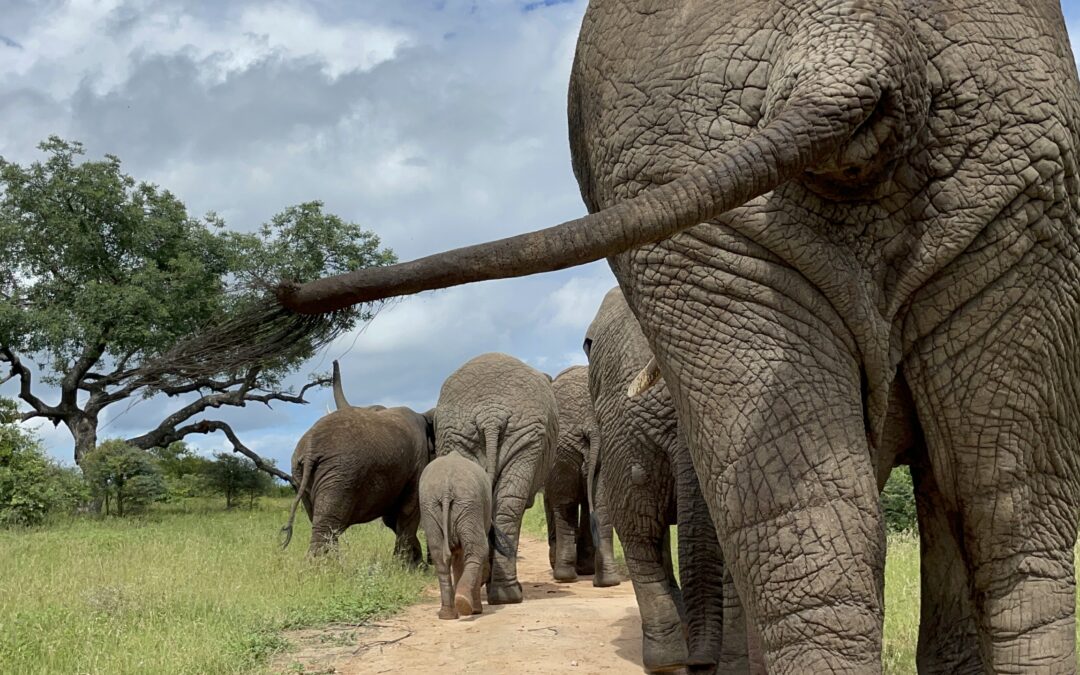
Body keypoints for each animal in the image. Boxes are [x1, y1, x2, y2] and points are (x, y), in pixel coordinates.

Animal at [282, 361, 435, 561]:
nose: (430, 561)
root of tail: (310, 447)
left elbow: (392, 518)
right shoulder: (418, 463)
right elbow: (408, 511)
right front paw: (408, 565)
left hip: (302, 474)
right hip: (341, 474)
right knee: (328, 523)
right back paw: (323, 566)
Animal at [419, 452, 494, 620]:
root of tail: (446, 488)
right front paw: (476, 610)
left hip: (432, 508)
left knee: (439, 556)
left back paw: (448, 614)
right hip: (469, 506)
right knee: (478, 550)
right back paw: (463, 606)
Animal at [434, 352, 557, 605]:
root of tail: (490, 416)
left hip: (505, 434)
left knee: (503, 505)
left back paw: (501, 594)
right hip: (501, 435)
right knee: (507, 505)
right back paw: (505, 594)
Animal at [543, 365, 620, 587]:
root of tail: (591, 424)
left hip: (560, 449)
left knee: (564, 505)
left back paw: (564, 575)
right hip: (596, 448)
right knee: (601, 507)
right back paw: (607, 581)